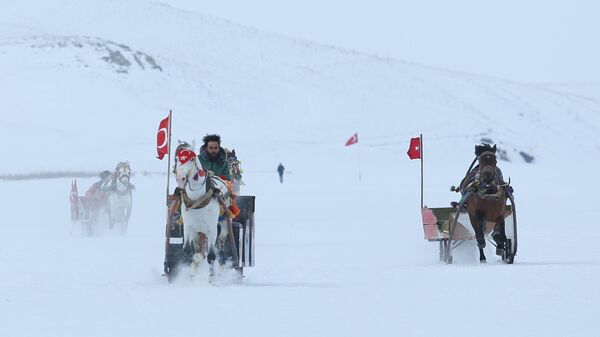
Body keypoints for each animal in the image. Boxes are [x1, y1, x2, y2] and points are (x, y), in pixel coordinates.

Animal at [173, 140, 232, 276]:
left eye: (192, 159)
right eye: (177, 158)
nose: (180, 178)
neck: (197, 201)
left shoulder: (212, 229)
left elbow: (211, 257)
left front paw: (212, 278)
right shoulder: (188, 227)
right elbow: (189, 252)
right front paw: (193, 272)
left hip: (224, 226)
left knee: (221, 247)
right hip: (197, 232)